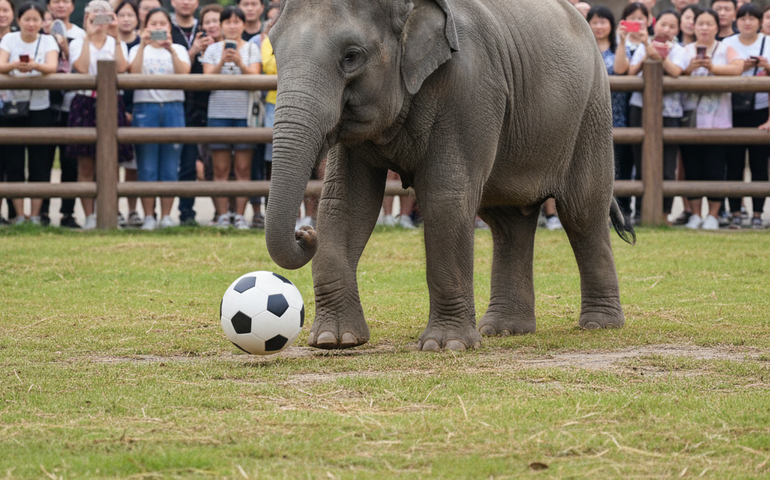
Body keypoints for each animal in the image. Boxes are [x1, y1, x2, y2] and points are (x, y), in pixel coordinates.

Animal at [264, 0, 636, 351]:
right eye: (274, 50)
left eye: (351, 56)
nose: (305, 233)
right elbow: (346, 203)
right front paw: (334, 340)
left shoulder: (469, 87)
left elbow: (445, 197)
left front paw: (446, 345)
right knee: (508, 221)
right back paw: (505, 330)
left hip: (591, 113)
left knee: (582, 213)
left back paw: (599, 325)